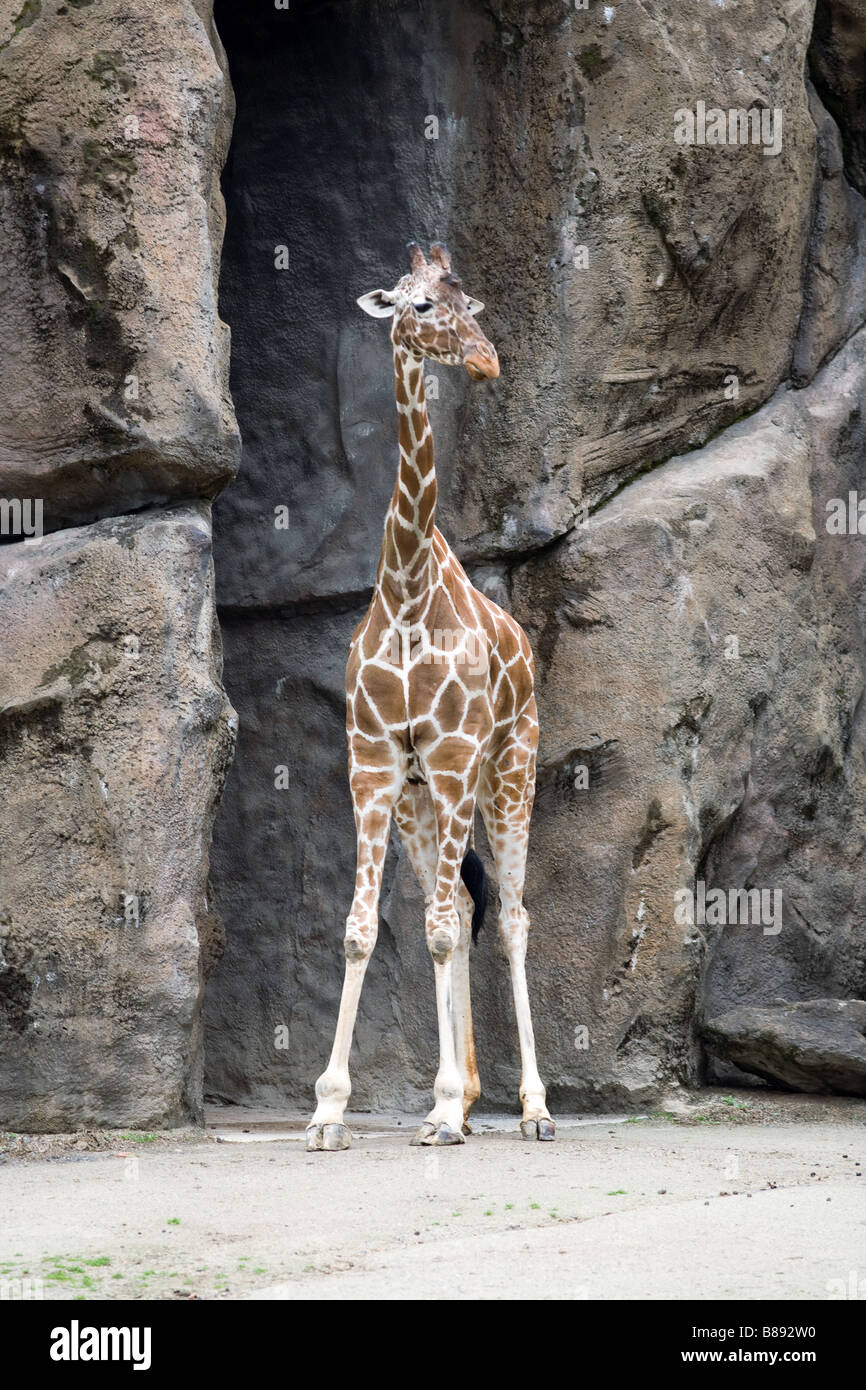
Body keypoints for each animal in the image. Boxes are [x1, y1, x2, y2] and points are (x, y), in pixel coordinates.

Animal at [304, 241, 556, 1150]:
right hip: (425, 800)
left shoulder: (451, 757)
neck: (408, 590)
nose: (485, 360)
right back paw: (472, 1099)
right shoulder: (376, 764)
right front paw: (328, 1109)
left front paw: (445, 1107)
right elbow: (363, 932)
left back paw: (530, 1108)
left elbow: (451, 932)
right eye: (415, 305)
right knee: (450, 906)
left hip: (509, 767)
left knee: (508, 916)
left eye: (464, 299)